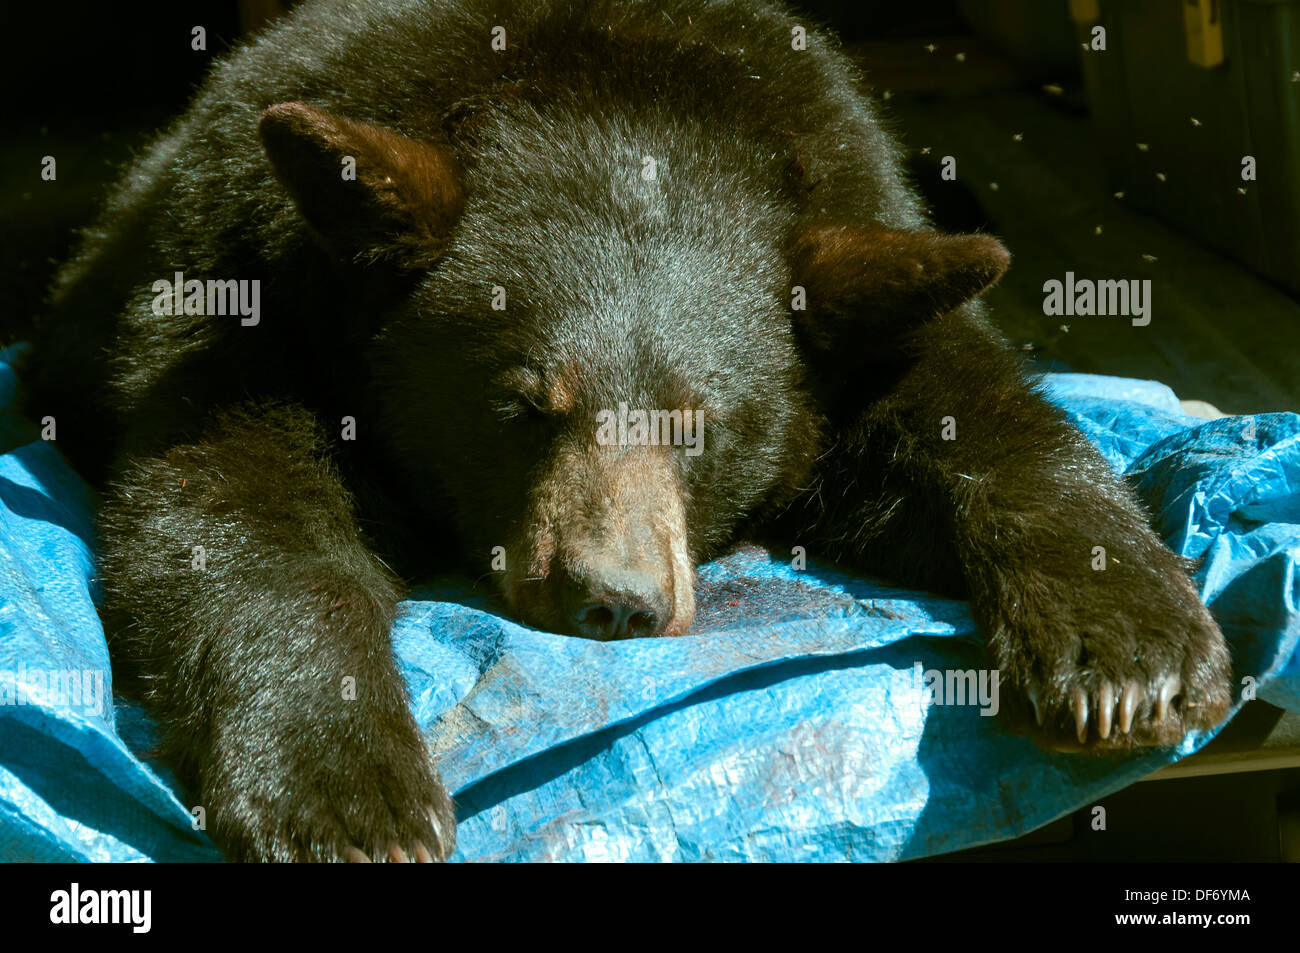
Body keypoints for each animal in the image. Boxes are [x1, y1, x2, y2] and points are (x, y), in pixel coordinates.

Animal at [27, 0, 1227, 863]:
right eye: (521, 404)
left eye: (704, 425)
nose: (615, 599)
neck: (615, 102)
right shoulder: (248, 294)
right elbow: (226, 498)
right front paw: (342, 790)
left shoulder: (860, 272)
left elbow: (975, 412)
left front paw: (1132, 652)